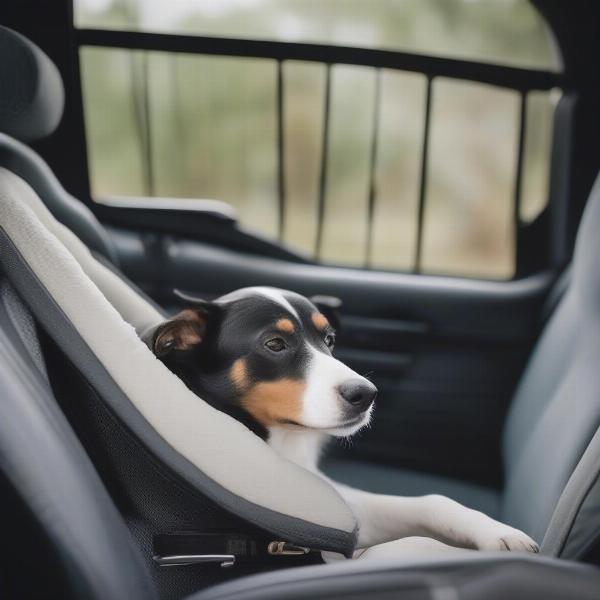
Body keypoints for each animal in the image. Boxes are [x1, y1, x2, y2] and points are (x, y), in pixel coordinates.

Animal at [145, 288, 540, 556]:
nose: (366, 394)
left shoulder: (347, 509)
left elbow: (433, 500)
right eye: (274, 344)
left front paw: (497, 531)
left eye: (329, 339)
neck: (284, 445)